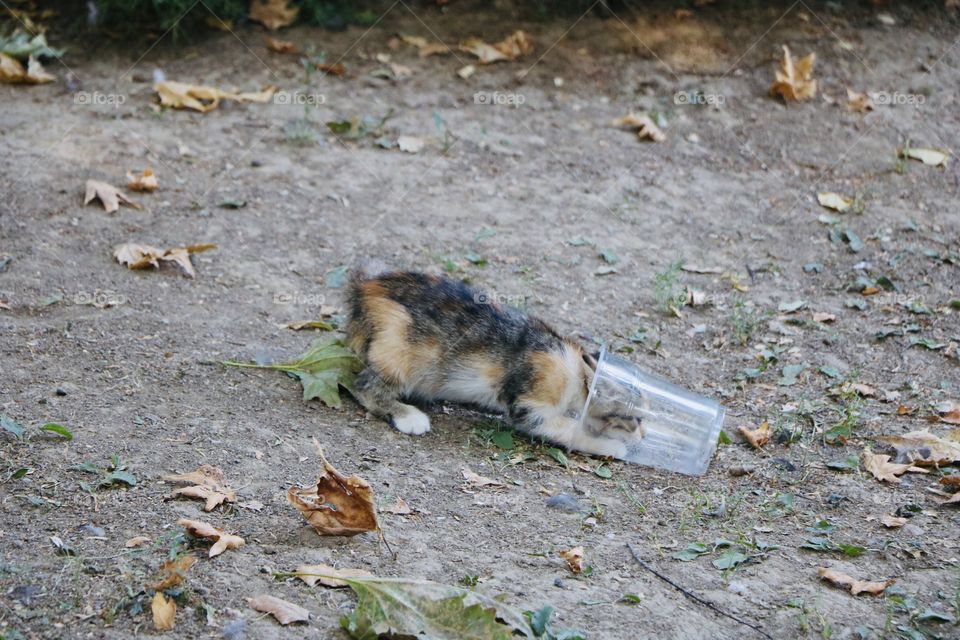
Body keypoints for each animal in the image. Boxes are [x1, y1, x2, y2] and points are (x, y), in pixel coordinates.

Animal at [344, 270, 644, 460]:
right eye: (637, 418)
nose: (643, 436)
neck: (575, 368)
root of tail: (365, 289)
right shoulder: (531, 404)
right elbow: (570, 429)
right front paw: (611, 446)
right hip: (398, 351)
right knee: (363, 386)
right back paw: (408, 416)